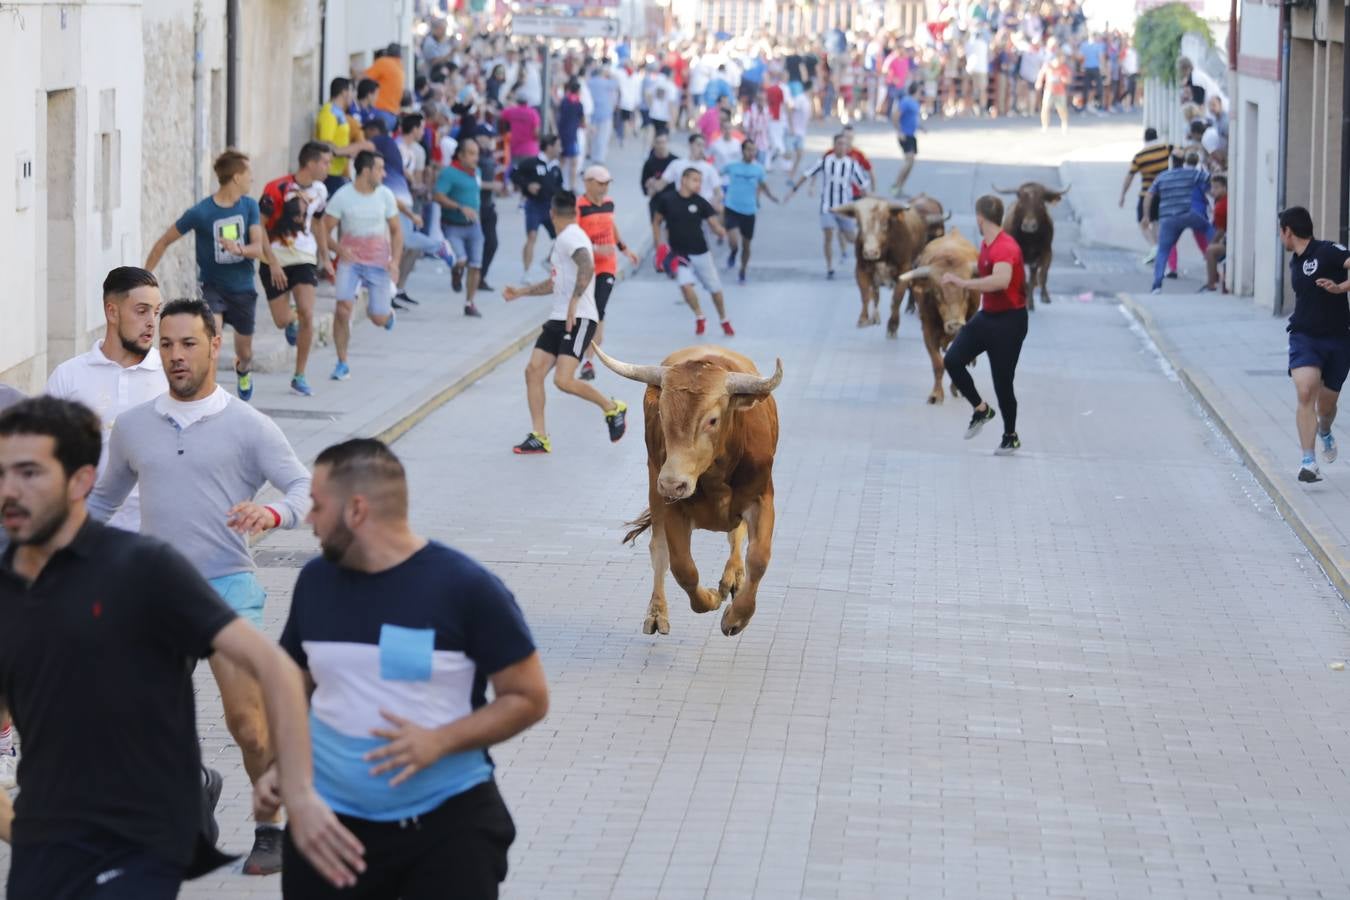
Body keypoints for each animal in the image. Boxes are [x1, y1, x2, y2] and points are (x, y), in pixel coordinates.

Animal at [599, 345, 788, 639]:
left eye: (712, 419)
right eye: (662, 414)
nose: (671, 482)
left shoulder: (761, 499)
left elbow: (758, 558)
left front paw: (736, 617)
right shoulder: (672, 506)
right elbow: (683, 568)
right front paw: (710, 598)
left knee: (736, 536)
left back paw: (733, 577)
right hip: (654, 484)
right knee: (659, 549)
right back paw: (657, 613)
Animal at [831, 197, 928, 334]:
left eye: (884, 223)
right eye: (859, 224)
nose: (870, 252)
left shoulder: (904, 271)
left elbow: (896, 298)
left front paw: (892, 326)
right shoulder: (861, 269)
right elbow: (866, 295)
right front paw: (863, 319)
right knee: (875, 295)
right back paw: (875, 317)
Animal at [901, 229, 977, 404]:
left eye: (967, 291)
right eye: (937, 292)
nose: (955, 325)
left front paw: (957, 387)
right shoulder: (927, 329)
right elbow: (938, 363)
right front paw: (936, 394)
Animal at [988, 180, 1069, 311]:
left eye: (1041, 202)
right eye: (1021, 201)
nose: (1029, 225)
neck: (1030, 239)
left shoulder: (1046, 252)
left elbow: (1042, 275)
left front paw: (1039, 298)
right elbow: (1025, 278)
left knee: (1036, 276)